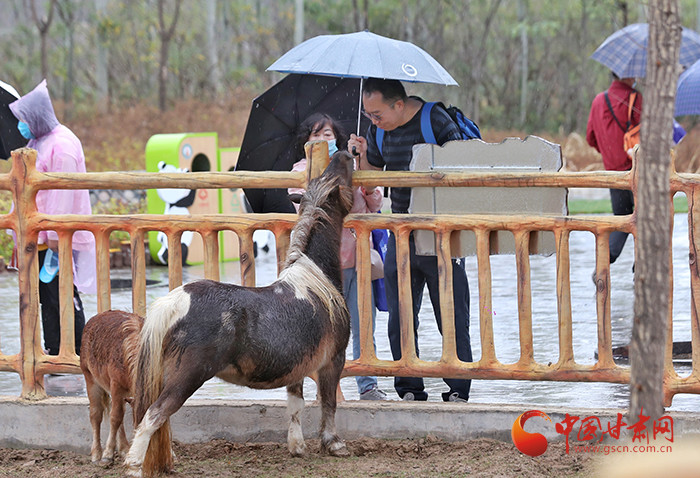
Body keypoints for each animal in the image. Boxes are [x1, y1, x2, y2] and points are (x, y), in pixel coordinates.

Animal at [79, 310, 144, 464]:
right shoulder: (116, 385)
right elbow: (115, 417)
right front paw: (107, 453)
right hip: (91, 379)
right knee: (96, 415)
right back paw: (96, 453)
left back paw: (124, 448)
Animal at [124, 151, 356, 476]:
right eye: (339, 177)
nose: (347, 153)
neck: (315, 280)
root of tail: (176, 301)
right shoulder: (333, 361)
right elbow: (329, 403)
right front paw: (333, 443)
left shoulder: (296, 366)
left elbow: (295, 406)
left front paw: (298, 447)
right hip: (187, 377)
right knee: (152, 416)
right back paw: (134, 466)